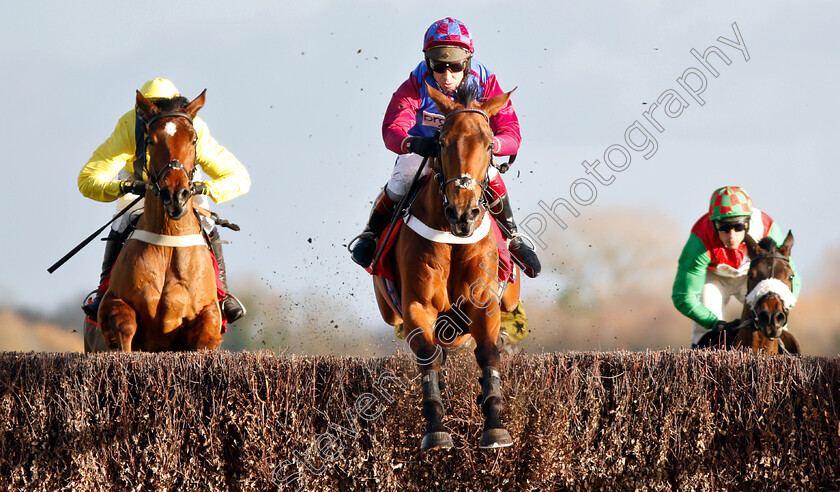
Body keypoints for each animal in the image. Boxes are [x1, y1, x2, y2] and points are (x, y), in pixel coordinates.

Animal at [97, 90, 223, 352]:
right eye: (151, 141)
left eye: (193, 139)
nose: (176, 195)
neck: (168, 244)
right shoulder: (110, 304)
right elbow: (124, 323)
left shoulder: (210, 315)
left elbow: (206, 334)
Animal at [372, 83, 520, 450]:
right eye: (441, 142)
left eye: (488, 142)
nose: (463, 213)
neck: (454, 238)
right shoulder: (417, 304)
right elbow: (427, 354)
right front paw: (436, 427)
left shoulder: (484, 304)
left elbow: (488, 353)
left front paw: (494, 423)